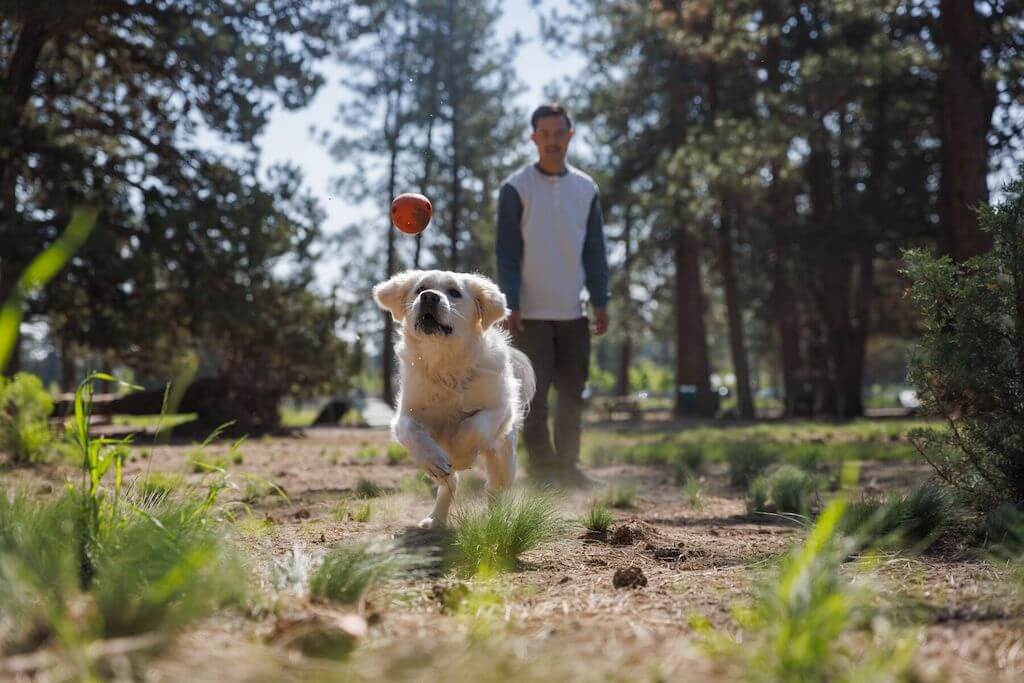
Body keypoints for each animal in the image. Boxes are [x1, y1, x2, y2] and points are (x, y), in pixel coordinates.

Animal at [374, 270, 536, 532]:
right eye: (420, 289)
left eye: (454, 292)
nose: (429, 297)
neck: (445, 361)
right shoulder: (406, 414)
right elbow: (413, 433)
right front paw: (435, 460)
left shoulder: (500, 409)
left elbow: (473, 426)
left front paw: (460, 454)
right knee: (450, 483)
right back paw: (436, 517)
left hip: (505, 460)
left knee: (494, 489)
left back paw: (496, 518)